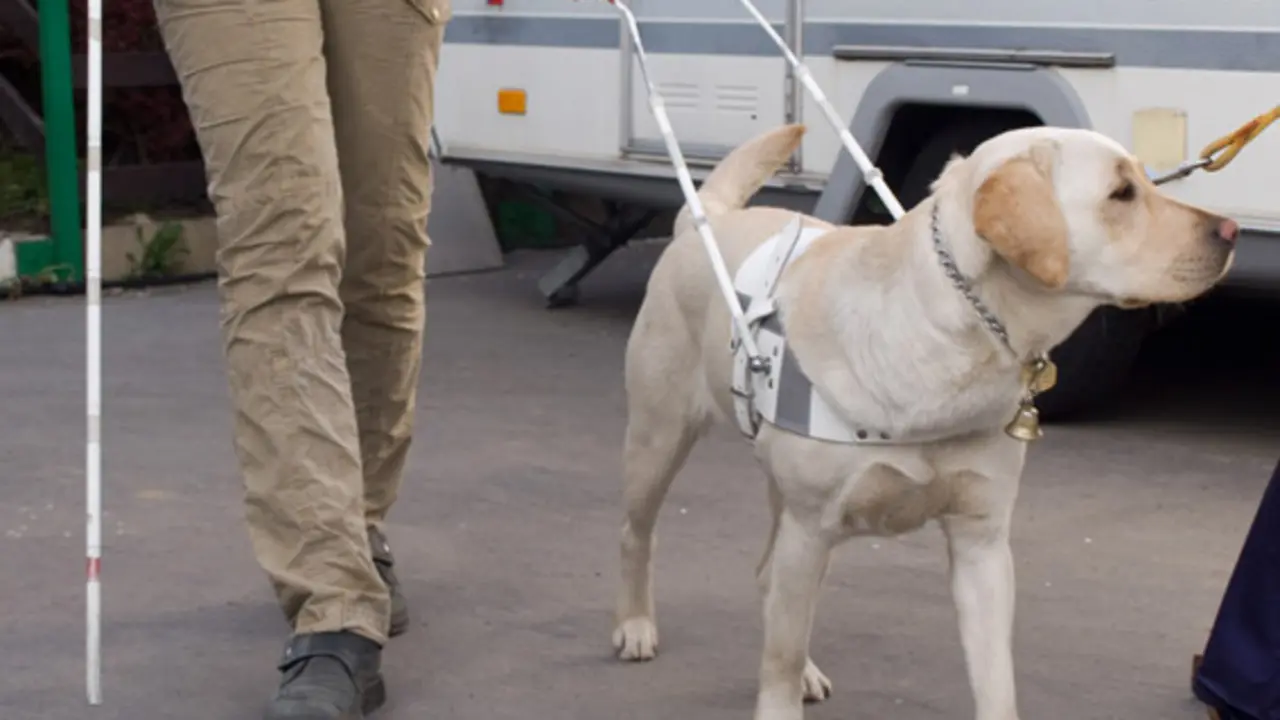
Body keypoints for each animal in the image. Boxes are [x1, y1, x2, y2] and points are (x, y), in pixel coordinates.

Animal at [614, 122, 1233, 717]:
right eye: (1122, 193)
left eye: (1145, 181)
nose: (1229, 231)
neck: (953, 336)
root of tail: (705, 219)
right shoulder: (811, 527)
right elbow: (779, 666)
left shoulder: (983, 542)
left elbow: (996, 681)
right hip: (658, 439)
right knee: (640, 536)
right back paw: (635, 625)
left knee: (771, 578)